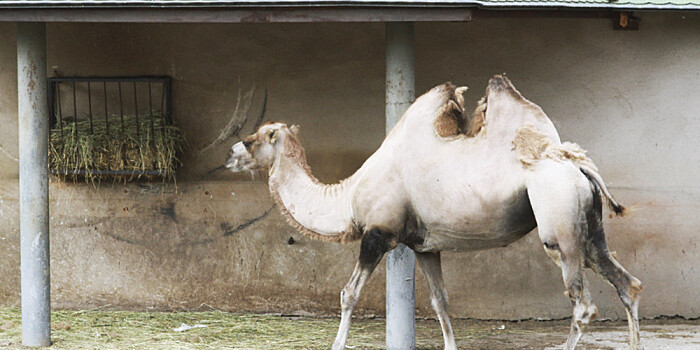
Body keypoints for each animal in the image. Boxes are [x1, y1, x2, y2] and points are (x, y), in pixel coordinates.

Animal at [227, 76, 644, 350]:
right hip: (591, 230)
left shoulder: (378, 233)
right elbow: (441, 301)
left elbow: (348, 294)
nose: (229, 154)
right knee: (627, 284)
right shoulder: (424, 246)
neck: (348, 196)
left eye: (251, 139)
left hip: (559, 227)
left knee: (583, 305)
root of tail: (577, 163)